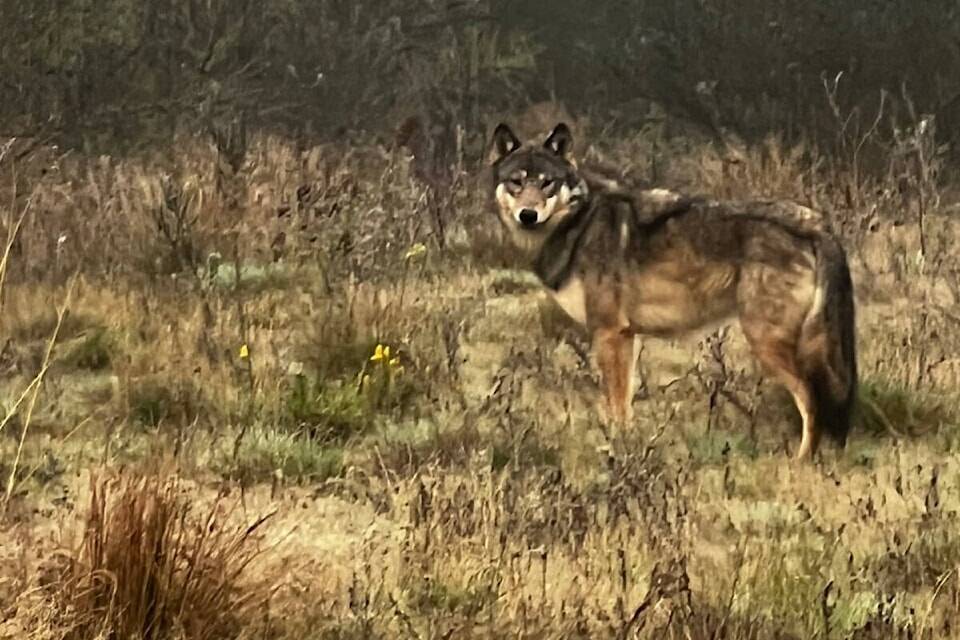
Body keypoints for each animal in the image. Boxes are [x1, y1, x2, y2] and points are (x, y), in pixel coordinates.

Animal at [488, 121, 856, 460]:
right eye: (517, 182)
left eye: (546, 183)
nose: (528, 215)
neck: (579, 225)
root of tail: (815, 224)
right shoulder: (627, 337)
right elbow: (625, 404)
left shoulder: (609, 333)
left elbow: (615, 405)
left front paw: (618, 452)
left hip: (768, 343)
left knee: (812, 399)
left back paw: (802, 461)